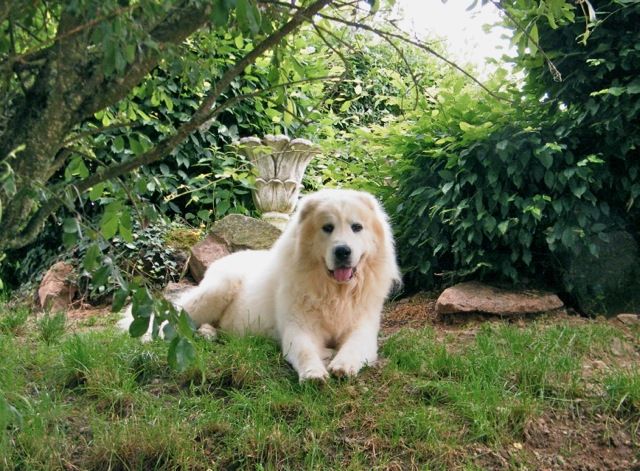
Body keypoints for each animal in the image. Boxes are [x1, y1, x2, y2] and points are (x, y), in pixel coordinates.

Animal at [122, 190, 398, 382]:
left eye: (356, 227)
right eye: (327, 228)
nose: (342, 251)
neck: (333, 290)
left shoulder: (363, 329)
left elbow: (353, 347)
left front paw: (342, 365)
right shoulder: (297, 329)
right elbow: (305, 351)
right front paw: (313, 373)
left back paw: (208, 333)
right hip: (217, 290)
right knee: (173, 321)